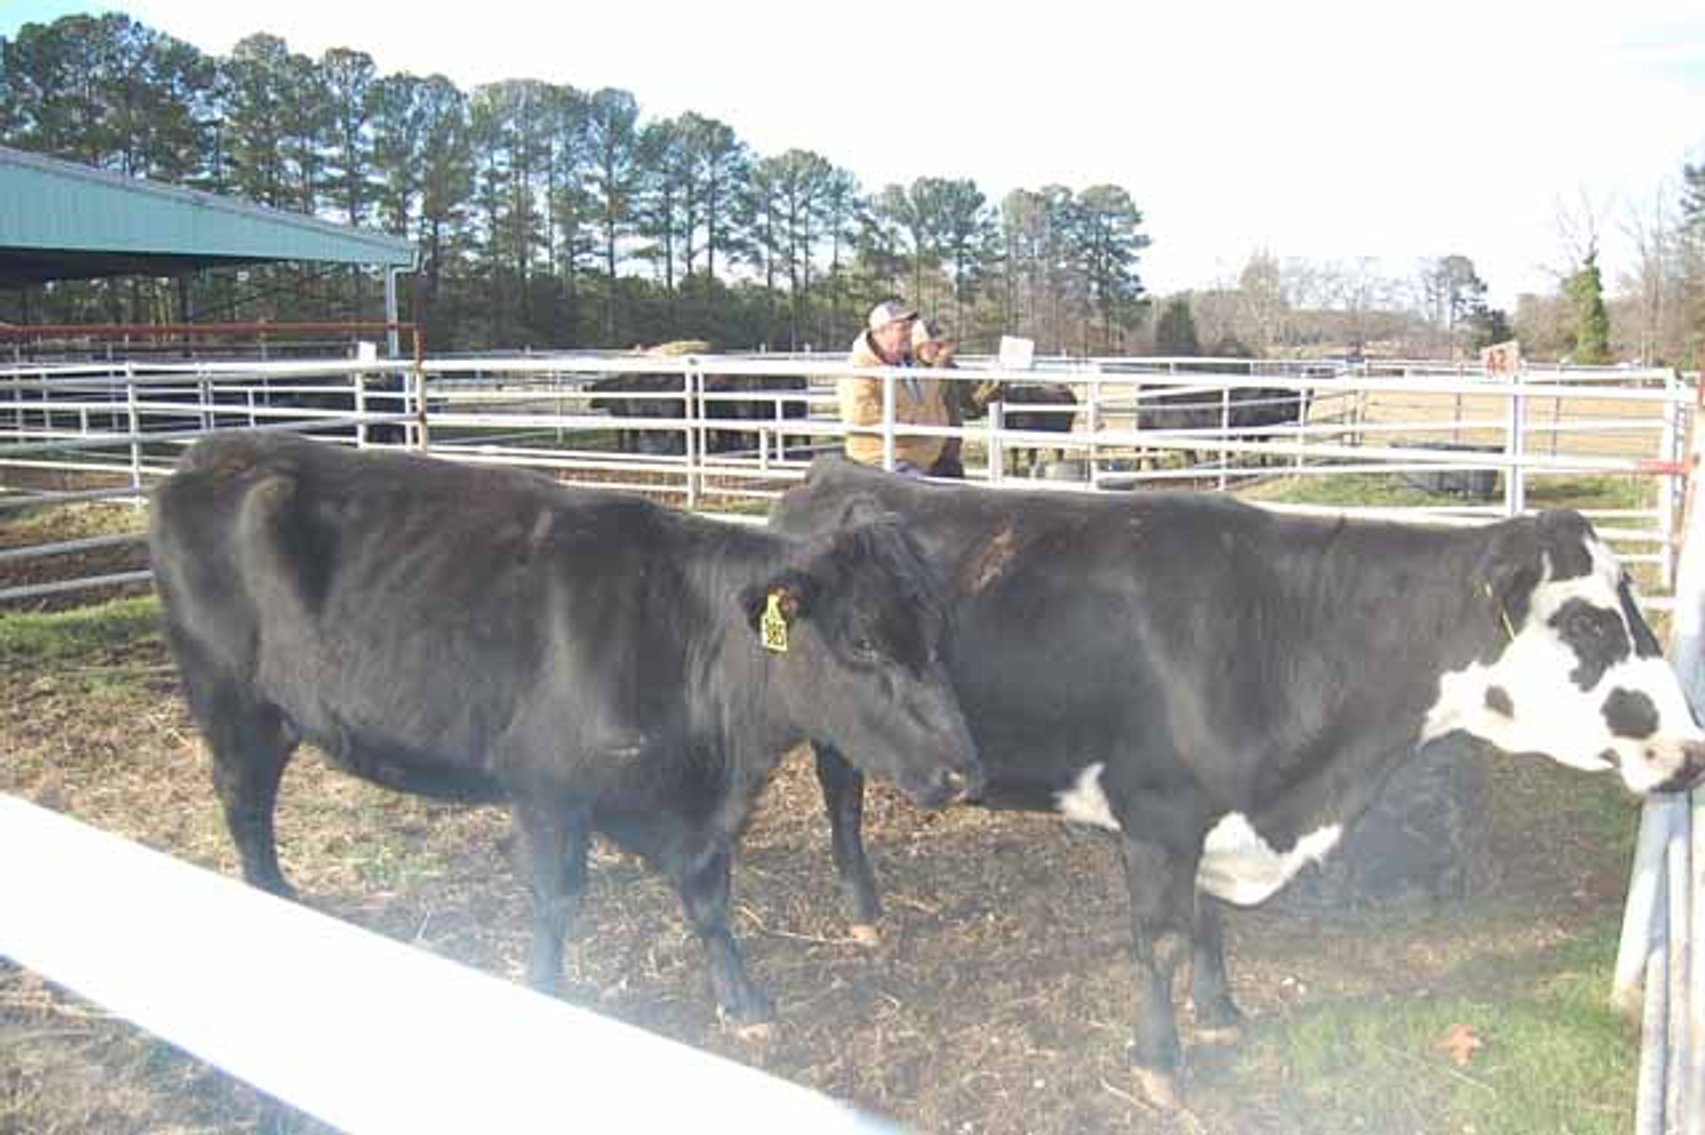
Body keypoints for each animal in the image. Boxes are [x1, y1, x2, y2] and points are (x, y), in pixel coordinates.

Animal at [148, 432, 981, 1030]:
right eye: (863, 641)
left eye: (938, 631)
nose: (963, 769)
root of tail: (207, 455)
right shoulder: (546, 789)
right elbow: (556, 899)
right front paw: (546, 992)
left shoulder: (696, 814)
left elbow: (708, 897)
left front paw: (742, 1000)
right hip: (229, 700)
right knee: (244, 800)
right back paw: (273, 895)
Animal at [770, 455, 1705, 1107]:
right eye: (1586, 622)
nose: (1690, 750)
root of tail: (831, 471)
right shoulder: (1156, 816)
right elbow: (1160, 937)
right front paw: (1161, 1062)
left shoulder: (1217, 816)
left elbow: (1208, 917)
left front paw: (1218, 1009)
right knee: (840, 795)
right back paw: (862, 911)